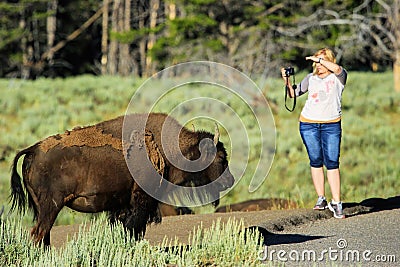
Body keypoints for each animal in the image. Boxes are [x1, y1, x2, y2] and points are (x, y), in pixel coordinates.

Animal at [10, 112, 234, 246]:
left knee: (43, 236)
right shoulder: (141, 202)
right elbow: (134, 230)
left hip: (41, 209)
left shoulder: (123, 206)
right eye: (221, 157)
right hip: (51, 206)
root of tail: (33, 149)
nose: (229, 181)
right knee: (39, 233)